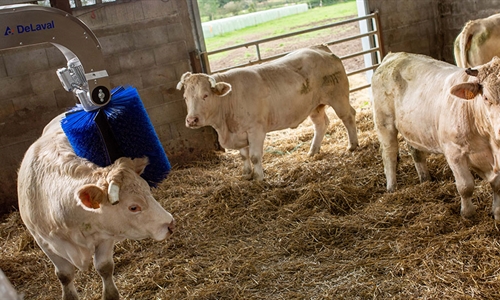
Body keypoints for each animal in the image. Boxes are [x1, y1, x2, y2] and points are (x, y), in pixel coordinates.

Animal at [17, 113, 176, 300]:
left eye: (148, 191)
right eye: (133, 207)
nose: (170, 224)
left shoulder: (105, 235)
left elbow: (105, 267)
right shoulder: (44, 242)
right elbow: (64, 275)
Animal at [176, 44, 356, 180]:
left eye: (205, 95)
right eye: (185, 97)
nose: (191, 120)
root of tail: (319, 48)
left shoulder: (256, 130)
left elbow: (255, 156)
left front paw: (259, 178)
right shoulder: (240, 132)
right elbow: (244, 155)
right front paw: (247, 175)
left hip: (338, 97)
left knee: (348, 117)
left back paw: (352, 146)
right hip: (315, 106)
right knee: (321, 124)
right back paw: (313, 151)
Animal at [372, 51, 500, 220]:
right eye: (486, 98)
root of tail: (394, 56)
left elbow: (497, 185)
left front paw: (497, 213)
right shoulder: (454, 153)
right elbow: (465, 186)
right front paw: (467, 214)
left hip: (413, 127)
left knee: (415, 151)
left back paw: (425, 179)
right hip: (384, 122)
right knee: (389, 154)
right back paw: (392, 187)